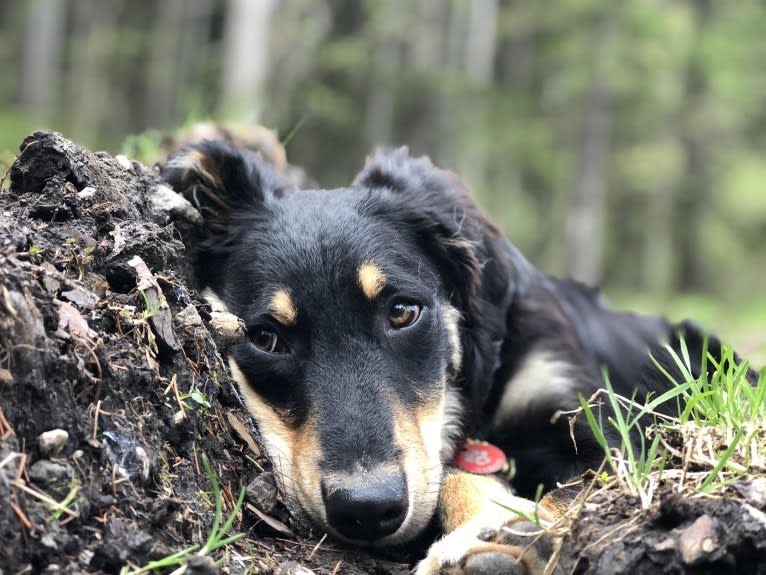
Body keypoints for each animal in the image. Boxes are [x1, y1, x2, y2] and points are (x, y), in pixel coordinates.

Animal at [164, 142, 736, 572]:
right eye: (265, 338)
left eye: (401, 312)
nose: (367, 511)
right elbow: (451, 473)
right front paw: (494, 531)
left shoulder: (602, 430)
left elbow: (574, 489)